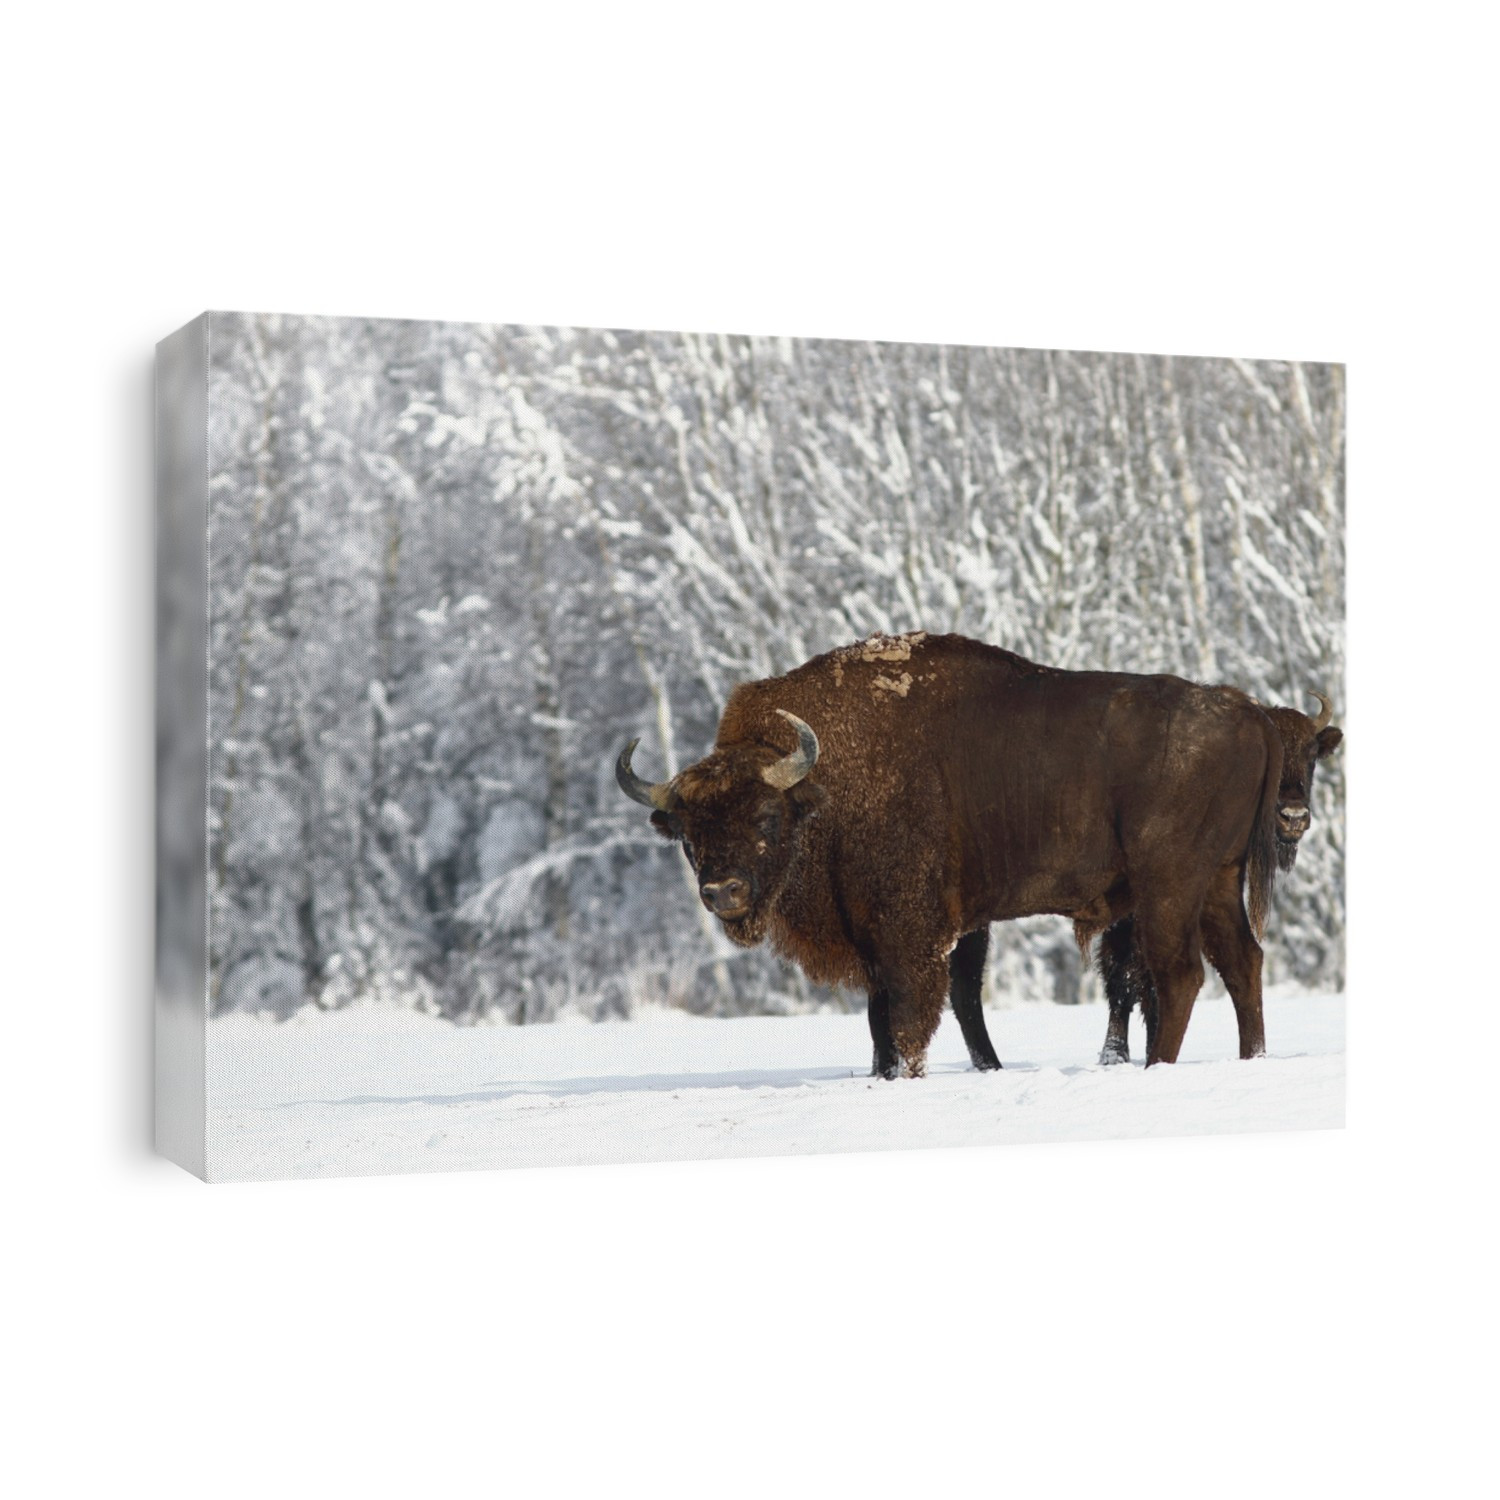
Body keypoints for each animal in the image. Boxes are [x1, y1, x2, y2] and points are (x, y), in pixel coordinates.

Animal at [617, 631, 1286, 1079]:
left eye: (764, 816)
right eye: (687, 834)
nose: (721, 893)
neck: (825, 784)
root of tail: (1251, 714)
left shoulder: (910, 936)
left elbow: (911, 1018)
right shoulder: (880, 939)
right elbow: (885, 1021)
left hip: (1169, 884)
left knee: (1181, 975)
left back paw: (1158, 1068)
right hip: (1218, 882)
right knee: (1242, 962)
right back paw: (1251, 1059)